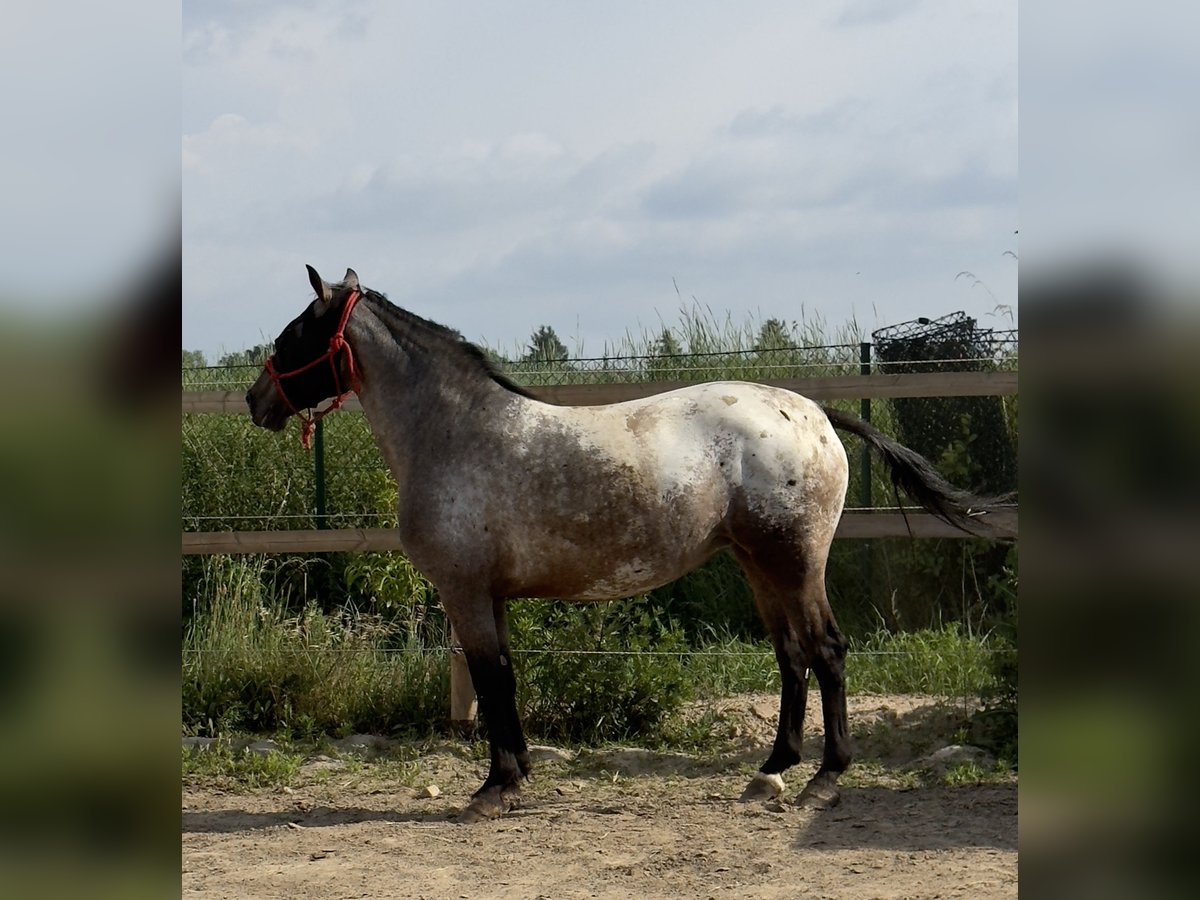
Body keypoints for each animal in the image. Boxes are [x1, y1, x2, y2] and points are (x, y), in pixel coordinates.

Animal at [243, 266, 1003, 825]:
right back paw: (771, 773)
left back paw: (825, 778)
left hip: (793, 564)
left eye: (294, 333)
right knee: (792, 657)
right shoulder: (492, 597)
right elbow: (505, 678)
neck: (455, 434)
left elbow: (489, 680)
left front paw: (493, 788)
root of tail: (814, 411)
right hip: (758, 566)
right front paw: (516, 777)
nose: (256, 400)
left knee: (826, 652)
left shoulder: (465, 594)